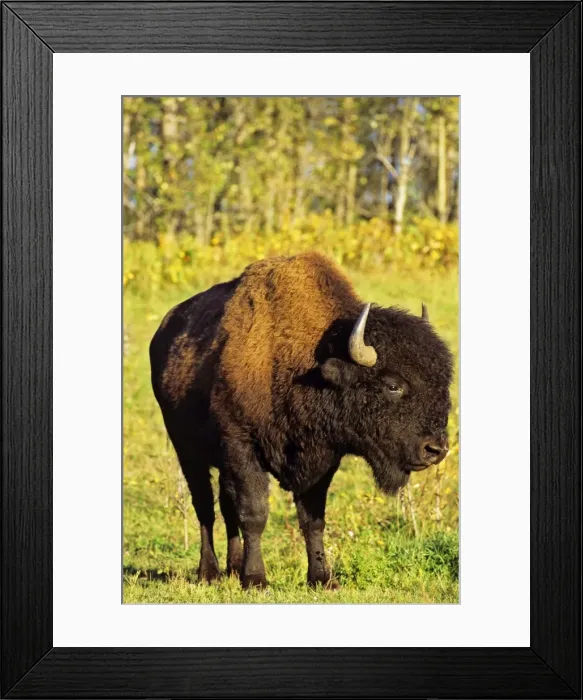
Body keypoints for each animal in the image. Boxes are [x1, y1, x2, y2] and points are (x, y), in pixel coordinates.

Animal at [150, 252, 453, 589]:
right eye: (392, 385)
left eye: (443, 381)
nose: (436, 449)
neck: (307, 364)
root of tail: (163, 331)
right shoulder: (242, 448)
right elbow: (254, 514)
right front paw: (256, 579)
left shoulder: (322, 460)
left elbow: (312, 519)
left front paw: (322, 579)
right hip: (188, 453)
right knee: (205, 507)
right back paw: (209, 572)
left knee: (225, 508)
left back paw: (232, 567)